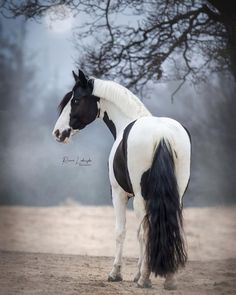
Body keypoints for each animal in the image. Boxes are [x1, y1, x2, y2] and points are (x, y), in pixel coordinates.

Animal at [52, 70, 191, 292]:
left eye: (75, 100)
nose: (58, 133)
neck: (127, 121)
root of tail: (162, 136)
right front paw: (136, 273)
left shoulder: (119, 194)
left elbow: (122, 231)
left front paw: (117, 273)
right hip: (176, 196)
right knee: (169, 227)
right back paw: (169, 279)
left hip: (140, 198)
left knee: (145, 231)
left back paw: (145, 280)